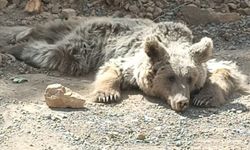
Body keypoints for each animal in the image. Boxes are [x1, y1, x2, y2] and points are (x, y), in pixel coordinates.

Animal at [4, 17, 249, 111]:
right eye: (170, 77)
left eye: (190, 78)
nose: (182, 102)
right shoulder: (130, 61)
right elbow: (111, 69)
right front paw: (107, 94)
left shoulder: (204, 61)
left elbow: (226, 69)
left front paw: (205, 97)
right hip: (85, 45)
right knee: (57, 52)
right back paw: (16, 45)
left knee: (52, 31)